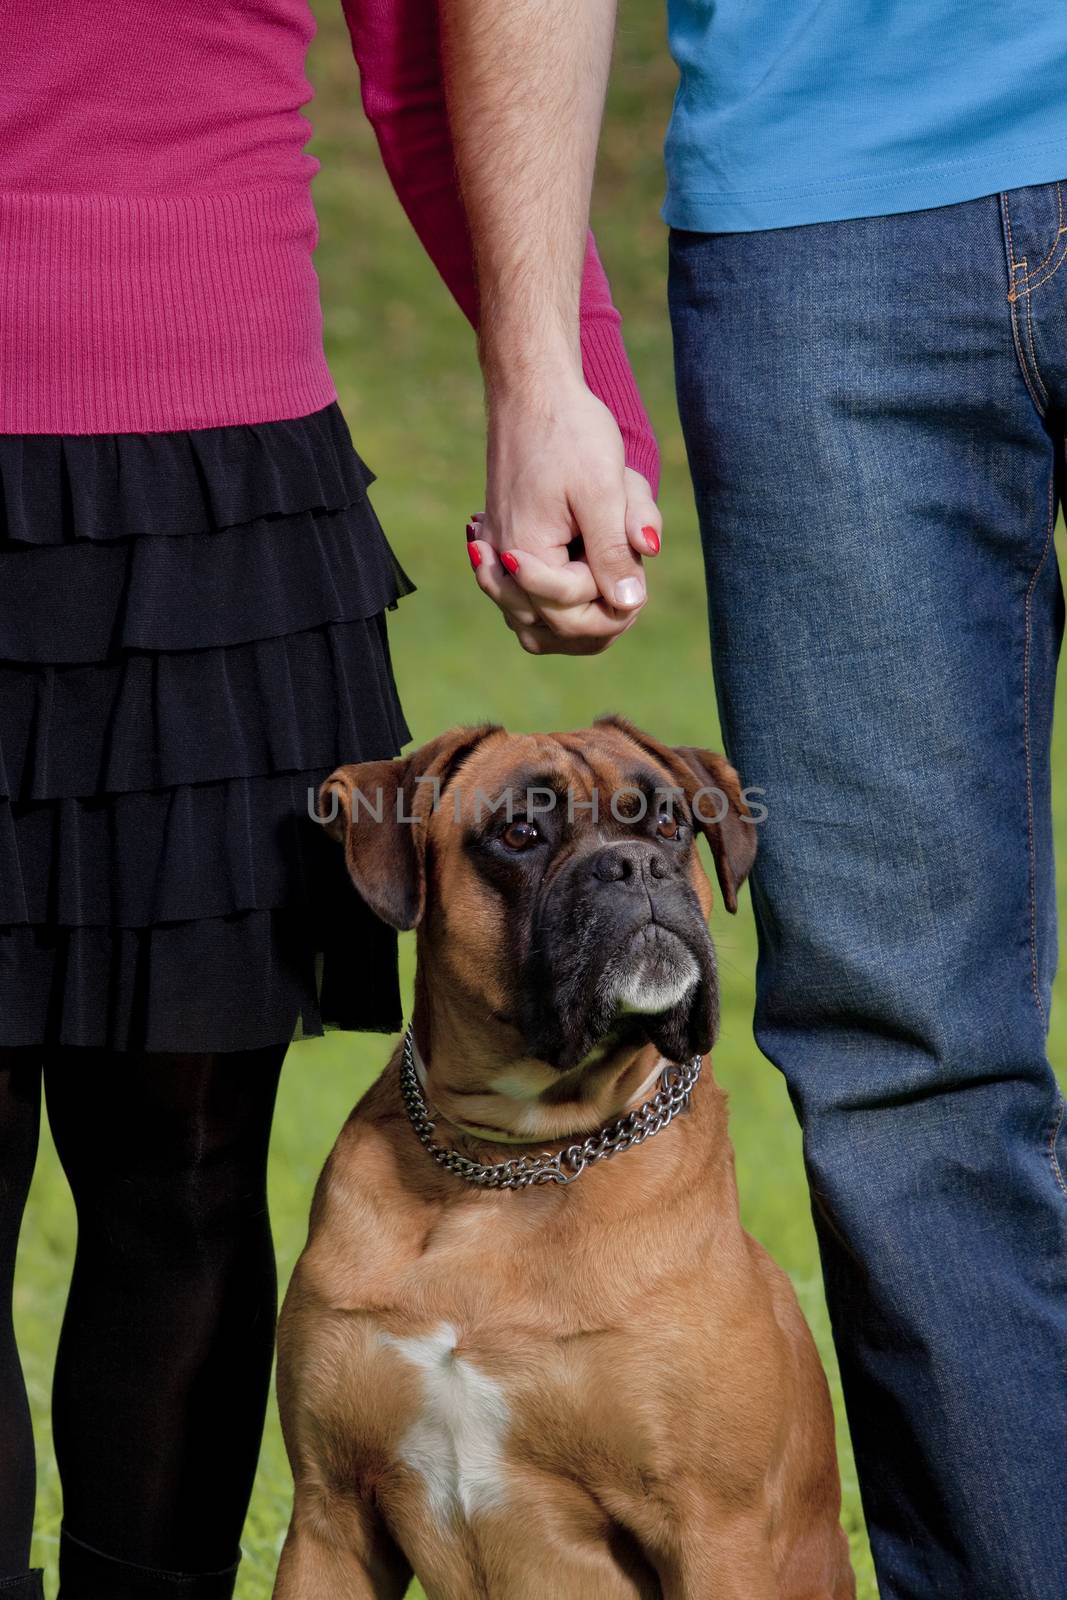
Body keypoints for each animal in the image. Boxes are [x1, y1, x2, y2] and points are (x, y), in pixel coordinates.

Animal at [278, 726, 857, 1600]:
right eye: (520, 832)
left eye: (670, 825)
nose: (636, 865)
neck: (507, 1163)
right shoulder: (328, 1516)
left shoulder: (716, 1531)